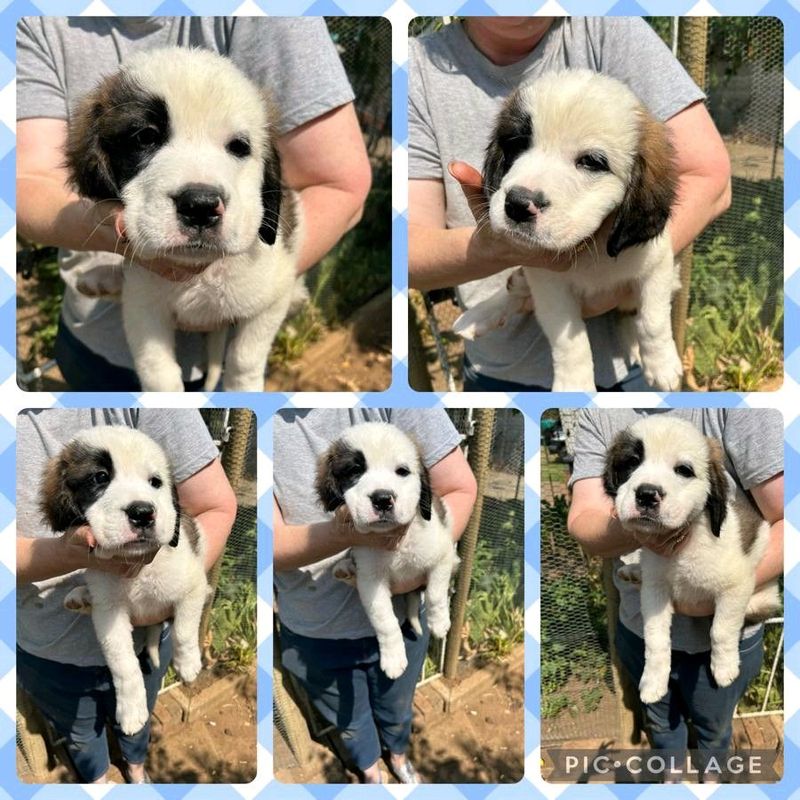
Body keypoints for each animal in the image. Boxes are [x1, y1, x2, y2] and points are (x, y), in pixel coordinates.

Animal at [39, 428, 209, 736]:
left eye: (155, 483)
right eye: (100, 477)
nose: (143, 513)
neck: (137, 566)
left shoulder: (193, 586)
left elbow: (184, 630)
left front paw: (188, 663)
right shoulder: (109, 615)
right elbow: (124, 665)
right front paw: (131, 710)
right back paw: (81, 596)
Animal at [65, 48, 304, 392]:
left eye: (239, 147)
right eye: (146, 137)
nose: (201, 206)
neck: (200, 273)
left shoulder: (274, 294)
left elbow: (244, 358)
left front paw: (243, 388)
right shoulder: (143, 306)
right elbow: (157, 371)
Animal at [316, 422, 460, 680]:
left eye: (402, 471)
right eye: (355, 470)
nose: (382, 499)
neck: (396, 542)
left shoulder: (441, 554)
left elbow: (435, 593)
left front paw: (439, 622)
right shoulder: (371, 581)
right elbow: (385, 621)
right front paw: (393, 658)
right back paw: (345, 567)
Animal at [456, 70, 680, 392]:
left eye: (591, 162)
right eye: (519, 144)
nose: (518, 205)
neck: (591, 245)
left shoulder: (657, 263)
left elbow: (653, 319)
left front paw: (661, 364)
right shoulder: (548, 283)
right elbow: (568, 340)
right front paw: (574, 385)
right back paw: (480, 313)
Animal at [604, 416, 780, 704]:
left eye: (684, 471)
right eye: (632, 462)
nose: (647, 494)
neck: (684, 546)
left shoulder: (736, 587)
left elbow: (721, 630)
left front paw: (724, 668)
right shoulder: (655, 591)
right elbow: (655, 639)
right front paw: (653, 681)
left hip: (760, 602)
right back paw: (634, 570)